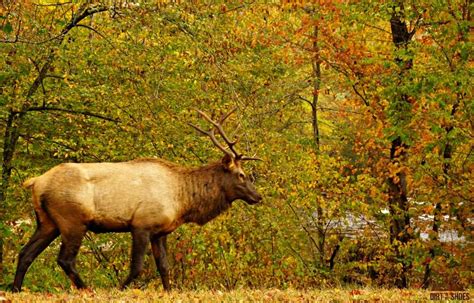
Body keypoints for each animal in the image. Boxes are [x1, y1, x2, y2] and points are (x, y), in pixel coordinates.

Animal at [11, 108, 262, 292]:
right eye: (241, 175)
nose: (258, 196)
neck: (182, 201)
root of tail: (36, 181)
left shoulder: (161, 231)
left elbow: (164, 267)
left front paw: (169, 291)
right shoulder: (141, 225)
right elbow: (137, 268)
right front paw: (119, 289)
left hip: (47, 221)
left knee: (25, 253)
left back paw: (16, 289)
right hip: (72, 220)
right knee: (65, 259)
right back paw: (86, 289)